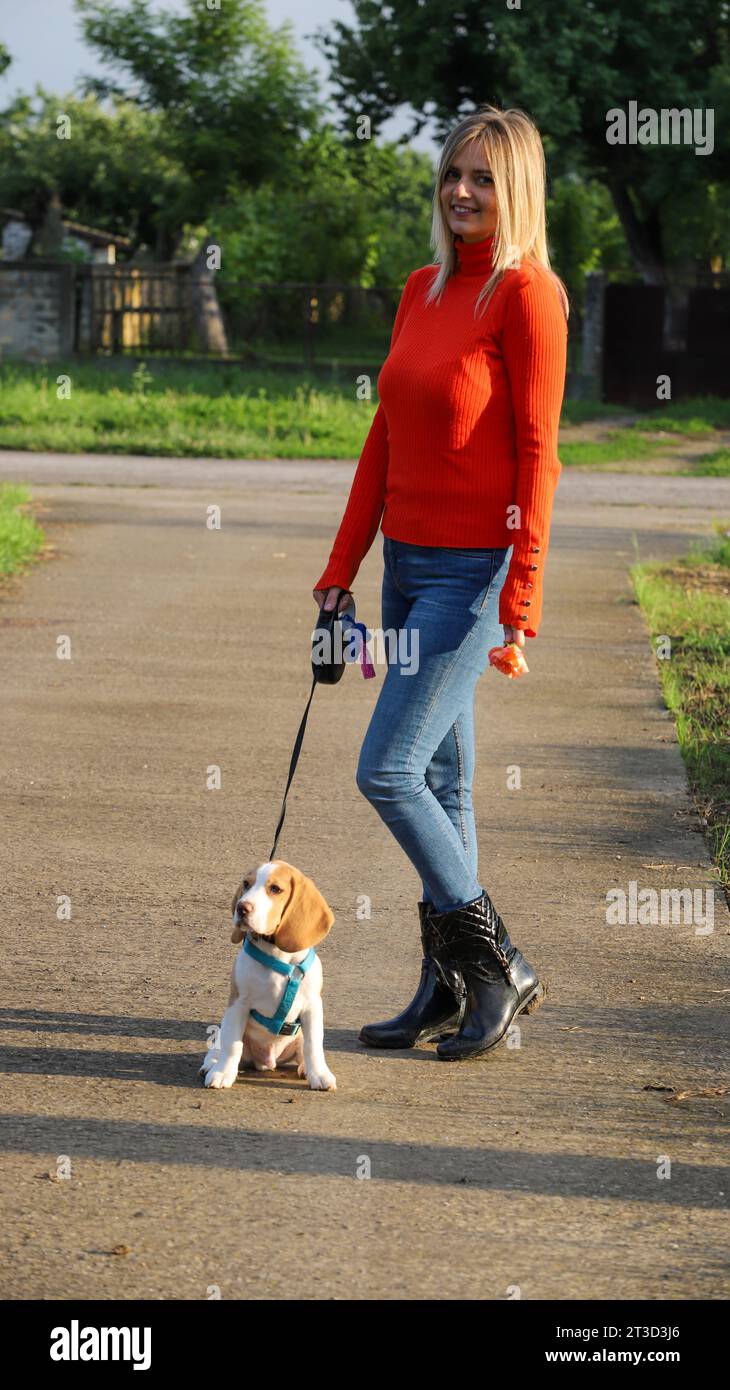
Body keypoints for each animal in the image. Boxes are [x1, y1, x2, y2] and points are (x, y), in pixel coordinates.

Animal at [198, 856, 336, 1095]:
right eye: (246, 884)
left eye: (275, 889)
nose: (242, 908)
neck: (278, 955)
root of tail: (266, 1062)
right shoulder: (238, 1004)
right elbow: (232, 1045)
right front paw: (223, 1073)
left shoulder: (312, 1006)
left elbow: (313, 1045)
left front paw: (319, 1074)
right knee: (220, 1045)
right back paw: (212, 1063)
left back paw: (305, 1069)